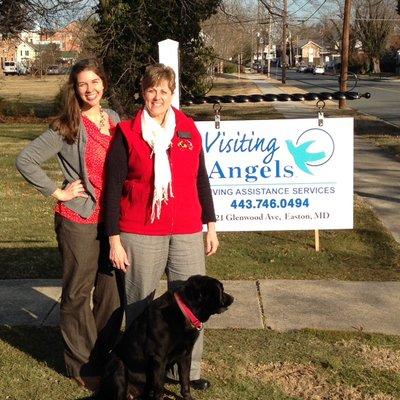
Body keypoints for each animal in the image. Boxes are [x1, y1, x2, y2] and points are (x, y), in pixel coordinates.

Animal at [97, 276, 234, 400]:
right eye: (220, 290)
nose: (233, 298)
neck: (184, 312)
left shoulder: (185, 355)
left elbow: (185, 381)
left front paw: (188, 397)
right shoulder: (159, 357)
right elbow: (159, 389)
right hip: (118, 364)